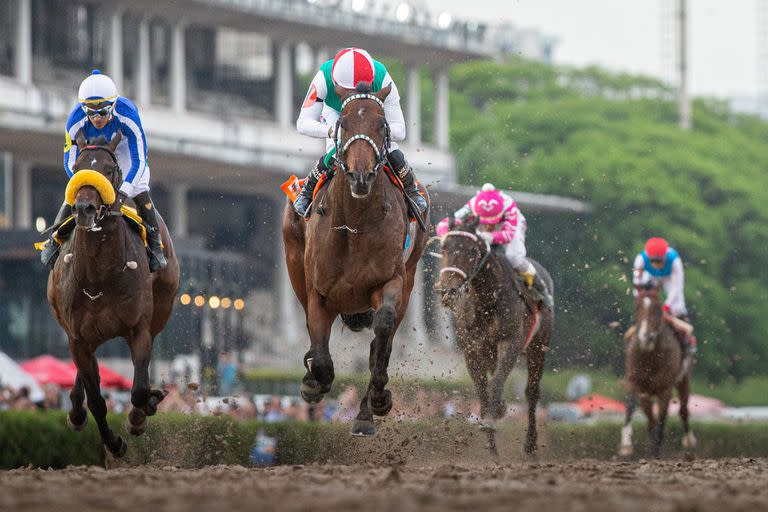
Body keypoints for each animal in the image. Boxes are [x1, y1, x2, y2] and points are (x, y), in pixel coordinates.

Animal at [47, 133, 180, 456]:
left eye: (109, 170)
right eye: (78, 167)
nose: (84, 209)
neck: (98, 277)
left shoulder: (139, 328)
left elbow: (139, 390)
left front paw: (144, 410)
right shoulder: (77, 337)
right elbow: (97, 399)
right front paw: (114, 443)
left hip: (161, 309)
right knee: (87, 372)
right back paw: (76, 412)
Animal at [282, 84, 428, 436]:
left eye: (382, 125)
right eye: (343, 124)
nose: (361, 176)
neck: (356, 224)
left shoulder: (391, 280)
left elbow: (383, 330)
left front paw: (377, 399)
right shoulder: (319, 292)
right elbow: (320, 351)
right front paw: (315, 382)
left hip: (411, 273)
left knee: (382, 340)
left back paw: (366, 412)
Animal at [432, 219, 552, 456]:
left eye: (471, 251)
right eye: (444, 248)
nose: (448, 291)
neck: (486, 299)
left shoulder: (511, 342)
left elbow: (495, 383)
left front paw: (491, 420)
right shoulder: (471, 348)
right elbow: (482, 389)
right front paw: (491, 445)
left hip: (538, 347)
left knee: (532, 392)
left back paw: (530, 444)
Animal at [616, 286, 696, 458]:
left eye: (657, 308)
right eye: (637, 307)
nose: (646, 337)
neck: (650, 355)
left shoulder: (665, 389)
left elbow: (661, 420)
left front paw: (656, 453)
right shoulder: (635, 382)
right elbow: (631, 407)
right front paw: (626, 445)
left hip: (684, 379)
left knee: (683, 411)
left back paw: (689, 443)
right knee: (651, 419)